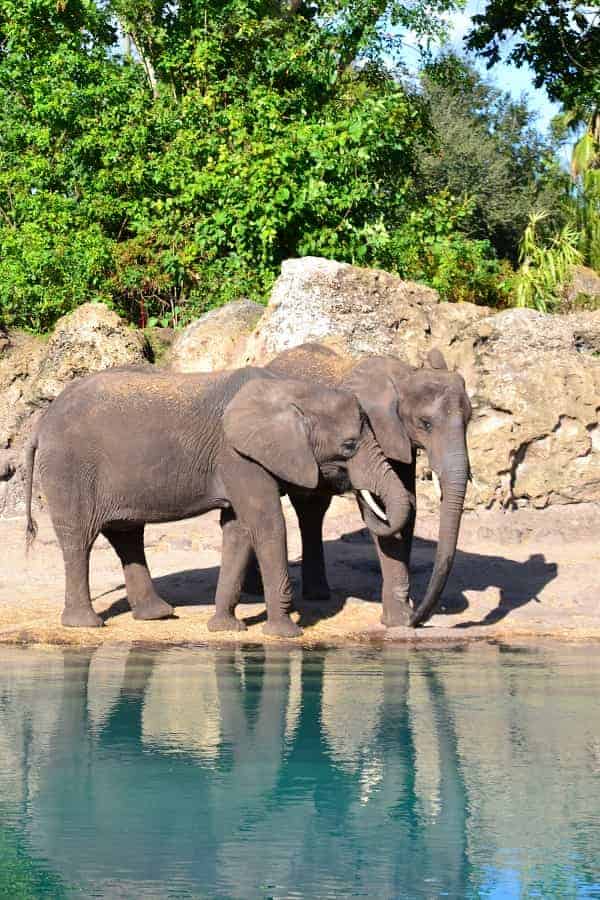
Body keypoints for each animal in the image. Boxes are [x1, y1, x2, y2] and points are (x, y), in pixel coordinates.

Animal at [27, 362, 412, 636]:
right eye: (348, 446)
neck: (291, 389)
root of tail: (41, 422)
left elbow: (238, 530)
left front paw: (226, 629)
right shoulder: (238, 456)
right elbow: (267, 525)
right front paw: (285, 634)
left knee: (127, 535)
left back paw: (158, 615)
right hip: (69, 470)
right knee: (79, 539)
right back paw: (86, 624)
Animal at [237, 342, 472, 628]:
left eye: (469, 420)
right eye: (425, 424)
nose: (419, 619)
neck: (404, 374)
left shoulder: (398, 440)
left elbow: (407, 511)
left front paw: (403, 616)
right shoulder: (374, 432)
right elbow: (388, 512)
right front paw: (399, 621)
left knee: (312, 510)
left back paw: (317, 594)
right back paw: (256, 590)